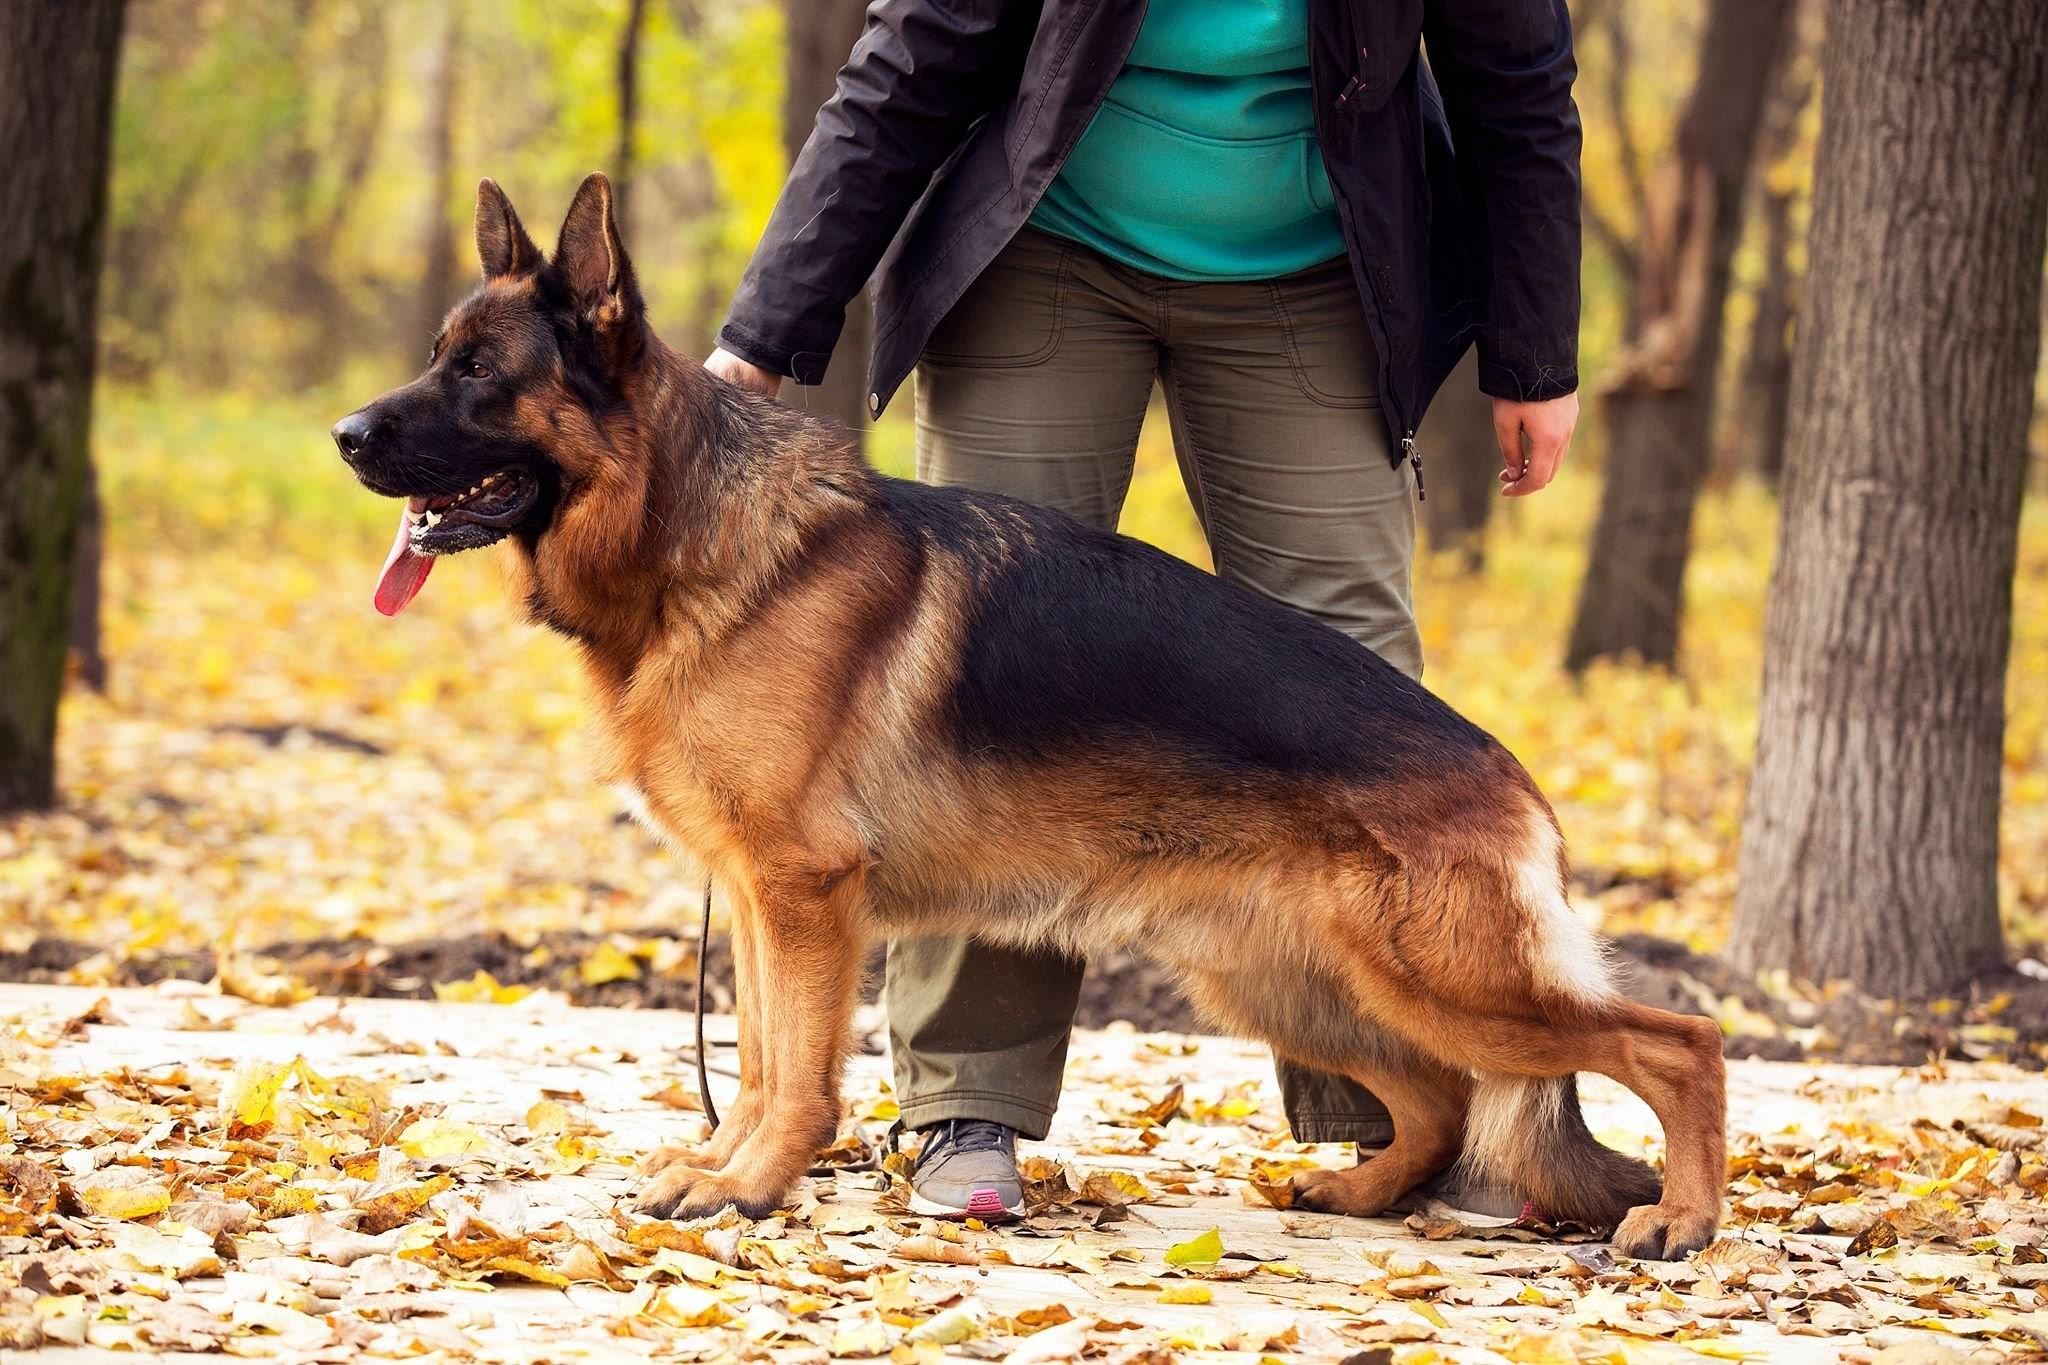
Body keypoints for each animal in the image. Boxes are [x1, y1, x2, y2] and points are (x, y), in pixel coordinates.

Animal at [335, 179, 1728, 1260]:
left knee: (1679, 1042)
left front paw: (752, 1187)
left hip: (1440, 978)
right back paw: (1362, 1191)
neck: (696, 535)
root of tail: (1512, 778)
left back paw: (1680, 1218)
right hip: (1286, 978)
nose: (345, 435)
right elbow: (758, 1056)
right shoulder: (753, 895)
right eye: (441, 356)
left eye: (477, 374)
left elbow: (794, 1072)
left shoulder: (801, 894)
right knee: (1437, 1100)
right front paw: (725, 1166)